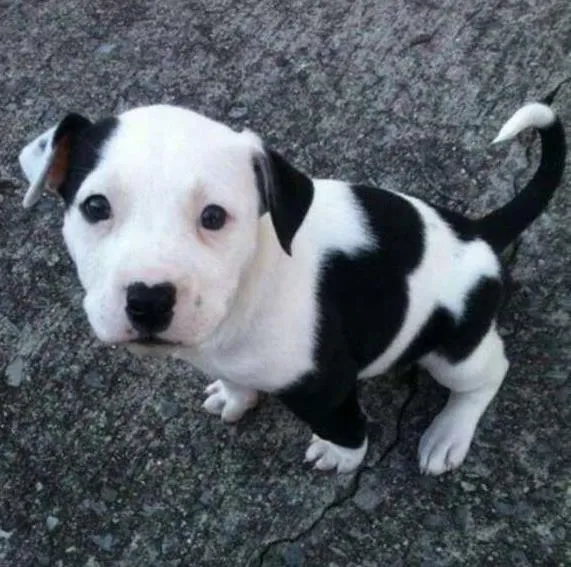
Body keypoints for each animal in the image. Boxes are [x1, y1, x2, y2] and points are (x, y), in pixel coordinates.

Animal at [18, 100, 565, 475]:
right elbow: (236, 379)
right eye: (95, 207)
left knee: (487, 374)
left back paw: (448, 433)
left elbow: (344, 424)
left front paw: (342, 455)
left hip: (454, 348)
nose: (148, 299)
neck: (245, 289)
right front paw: (236, 396)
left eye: (213, 217)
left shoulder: (325, 383)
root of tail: (477, 232)